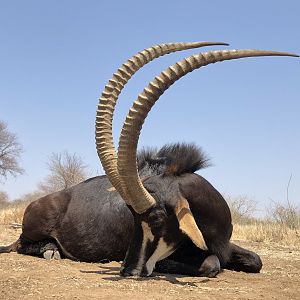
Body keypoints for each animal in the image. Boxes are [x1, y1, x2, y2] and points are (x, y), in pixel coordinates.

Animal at [0, 41, 298, 278]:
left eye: (156, 218)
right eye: (131, 216)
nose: (128, 269)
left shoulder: (227, 245)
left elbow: (255, 260)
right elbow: (210, 264)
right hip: (32, 230)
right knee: (20, 245)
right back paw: (51, 250)